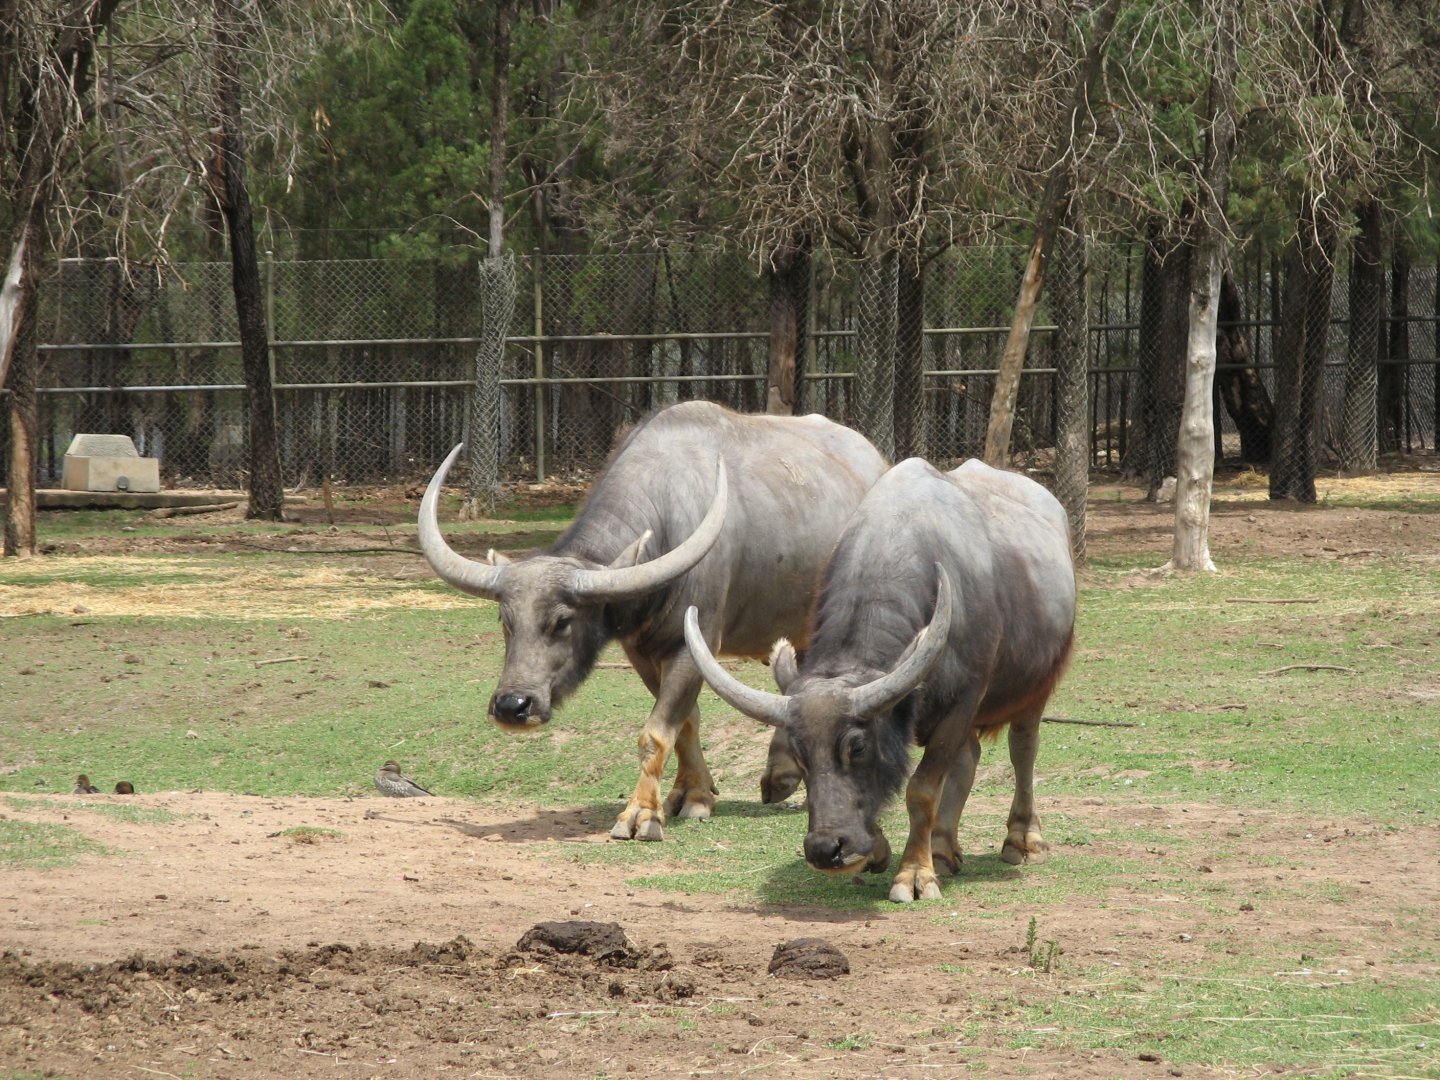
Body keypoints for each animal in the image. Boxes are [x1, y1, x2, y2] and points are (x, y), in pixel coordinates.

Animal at [418, 401, 887, 841]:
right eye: (506, 619)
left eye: (563, 620)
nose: (512, 706)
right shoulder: (643, 652)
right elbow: (686, 722)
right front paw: (694, 794)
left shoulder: (692, 645)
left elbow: (656, 732)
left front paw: (641, 814)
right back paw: (781, 775)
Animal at [684, 456, 1076, 901]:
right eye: (799, 754)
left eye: (856, 747)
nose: (825, 849)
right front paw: (882, 850)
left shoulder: (964, 700)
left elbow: (921, 789)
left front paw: (915, 874)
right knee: (969, 758)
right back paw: (943, 848)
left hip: (1036, 687)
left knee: (1023, 748)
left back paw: (1022, 840)